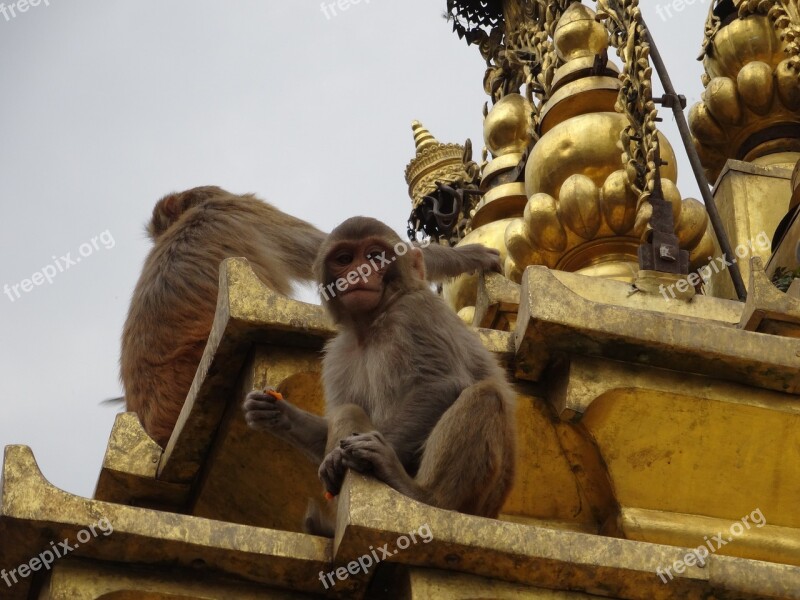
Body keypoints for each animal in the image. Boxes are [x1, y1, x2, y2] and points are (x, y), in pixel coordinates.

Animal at [244, 214, 516, 528]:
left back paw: (420, 494)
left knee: (485, 395)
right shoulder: (337, 355)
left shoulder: (416, 312)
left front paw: (352, 458)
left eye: (375, 257)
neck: (372, 325)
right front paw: (276, 413)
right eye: (345, 259)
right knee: (348, 410)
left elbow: (440, 385)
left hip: (483, 502)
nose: (358, 272)